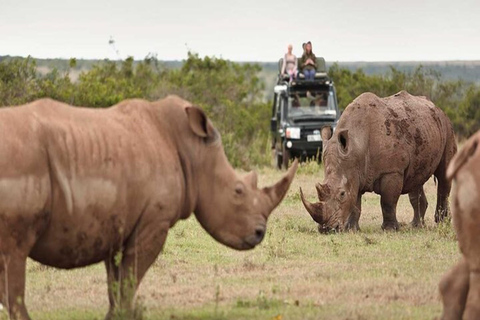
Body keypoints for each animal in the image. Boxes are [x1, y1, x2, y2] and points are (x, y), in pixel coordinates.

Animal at [0, 96, 298, 318]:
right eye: (238, 191)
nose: (260, 233)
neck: (194, 152)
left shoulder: (113, 224)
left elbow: (116, 284)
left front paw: (114, 316)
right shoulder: (153, 223)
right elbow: (130, 281)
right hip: (21, 161)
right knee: (14, 257)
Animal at [300, 91, 458, 231]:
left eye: (342, 194)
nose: (326, 229)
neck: (357, 145)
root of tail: (436, 107)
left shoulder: (392, 171)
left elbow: (387, 202)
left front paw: (390, 229)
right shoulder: (355, 172)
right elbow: (355, 203)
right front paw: (352, 229)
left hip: (447, 127)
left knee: (443, 176)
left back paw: (442, 223)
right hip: (423, 130)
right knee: (416, 179)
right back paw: (416, 226)